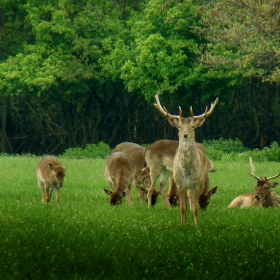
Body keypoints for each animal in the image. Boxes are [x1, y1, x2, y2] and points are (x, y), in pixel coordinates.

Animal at [151, 94, 219, 225]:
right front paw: (183, 225)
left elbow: (195, 208)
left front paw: (196, 225)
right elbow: (182, 208)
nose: (185, 134)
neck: (186, 170)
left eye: (192, 126)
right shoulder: (180, 184)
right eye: (179, 126)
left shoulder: (196, 184)